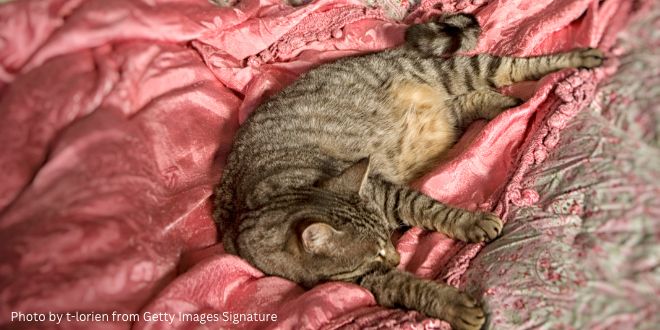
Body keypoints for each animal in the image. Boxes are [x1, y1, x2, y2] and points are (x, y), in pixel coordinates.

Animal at [213, 12, 604, 330]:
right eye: (376, 251)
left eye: (386, 238)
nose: (397, 255)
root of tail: (393, 50)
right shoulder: (359, 280)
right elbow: (406, 286)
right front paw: (452, 305)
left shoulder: (385, 192)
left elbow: (431, 208)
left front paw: (473, 222)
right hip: (449, 105)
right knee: (466, 103)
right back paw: (504, 103)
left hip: (456, 71)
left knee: (511, 66)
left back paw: (582, 59)